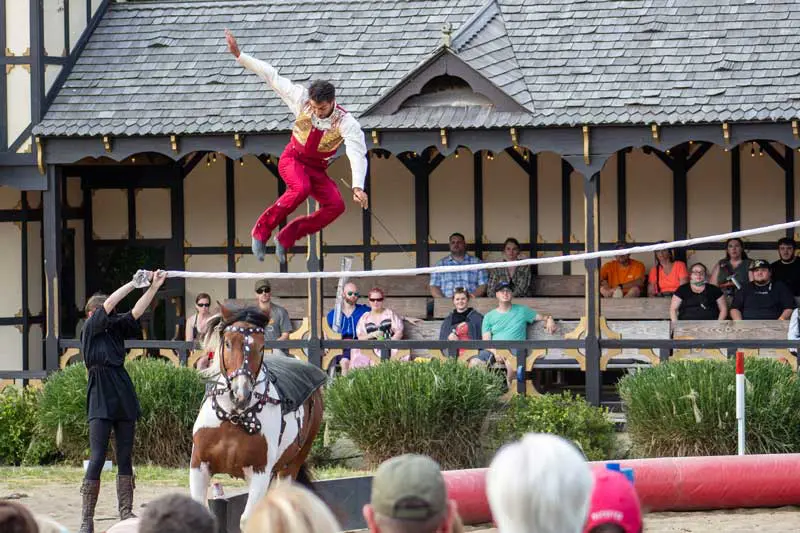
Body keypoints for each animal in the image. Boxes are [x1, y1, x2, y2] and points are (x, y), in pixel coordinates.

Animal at [190, 304, 324, 524]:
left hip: (291, 464)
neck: (234, 417)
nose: (240, 393)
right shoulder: (198, 465)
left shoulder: (261, 471)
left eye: (261, 347)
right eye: (228, 343)